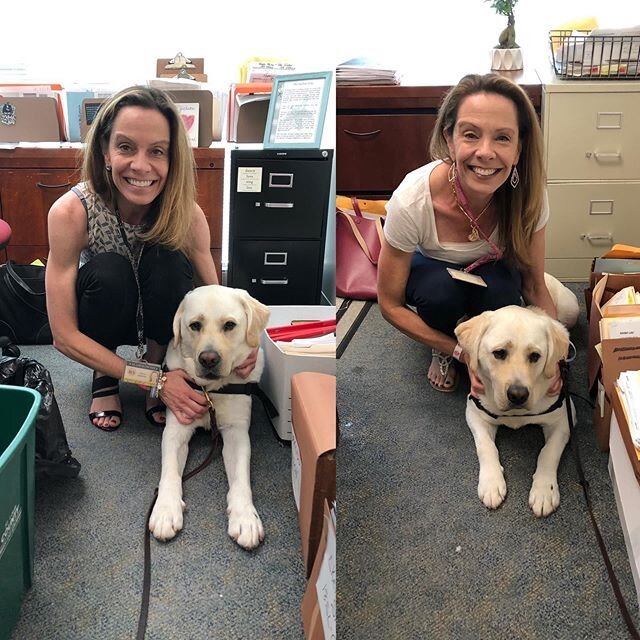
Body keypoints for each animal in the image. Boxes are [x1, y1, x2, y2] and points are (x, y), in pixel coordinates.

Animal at [150, 284, 270, 552]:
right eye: (195, 325)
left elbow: (241, 480)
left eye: (229, 325)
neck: (210, 391)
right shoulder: (175, 431)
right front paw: (165, 510)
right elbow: (169, 472)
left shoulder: (237, 434)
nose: (208, 359)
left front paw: (245, 518)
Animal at [458, 306, 572, 520]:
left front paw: (544, 490)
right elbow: (485, 446)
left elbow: (548, 451)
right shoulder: (474, 411)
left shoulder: (563, 419)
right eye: (499, 353)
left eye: (535, 356)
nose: (518, 395)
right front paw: (491, 483)